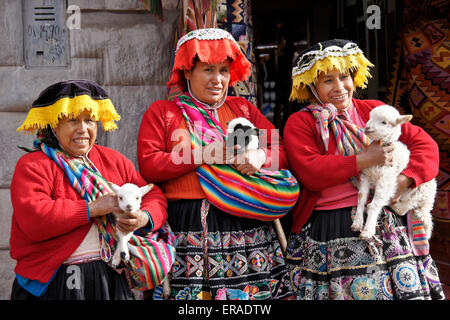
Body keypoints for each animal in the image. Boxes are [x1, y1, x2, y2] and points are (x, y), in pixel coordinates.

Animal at [352, 104, 436, 240]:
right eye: (370, 117)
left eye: (384, 122)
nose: (367, 128)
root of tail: (428, 203)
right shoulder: (366, 174)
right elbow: (361, 196)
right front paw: (357, 222)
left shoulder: (385, 179)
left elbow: (376, 204)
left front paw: (367, 231)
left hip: (418, 192)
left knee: (406, 209)